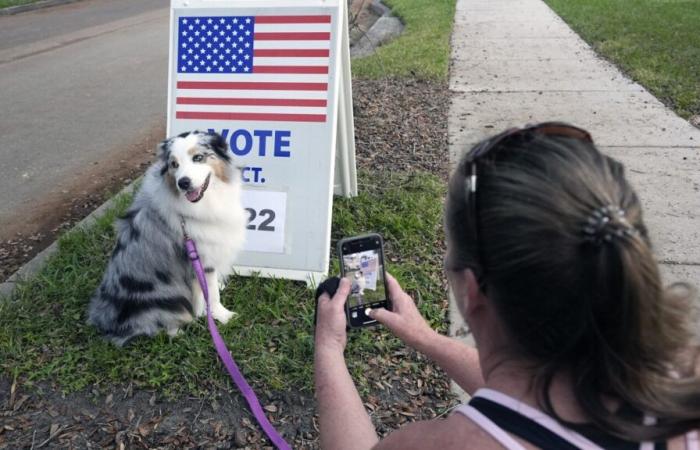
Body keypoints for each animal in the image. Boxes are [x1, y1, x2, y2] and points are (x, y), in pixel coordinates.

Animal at [87, 130, 246, 348]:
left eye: (198, 158)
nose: (183, 183)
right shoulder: (203, 260)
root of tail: (104, 320)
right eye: (174, 164)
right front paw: (223, 316)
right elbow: (212, 295)